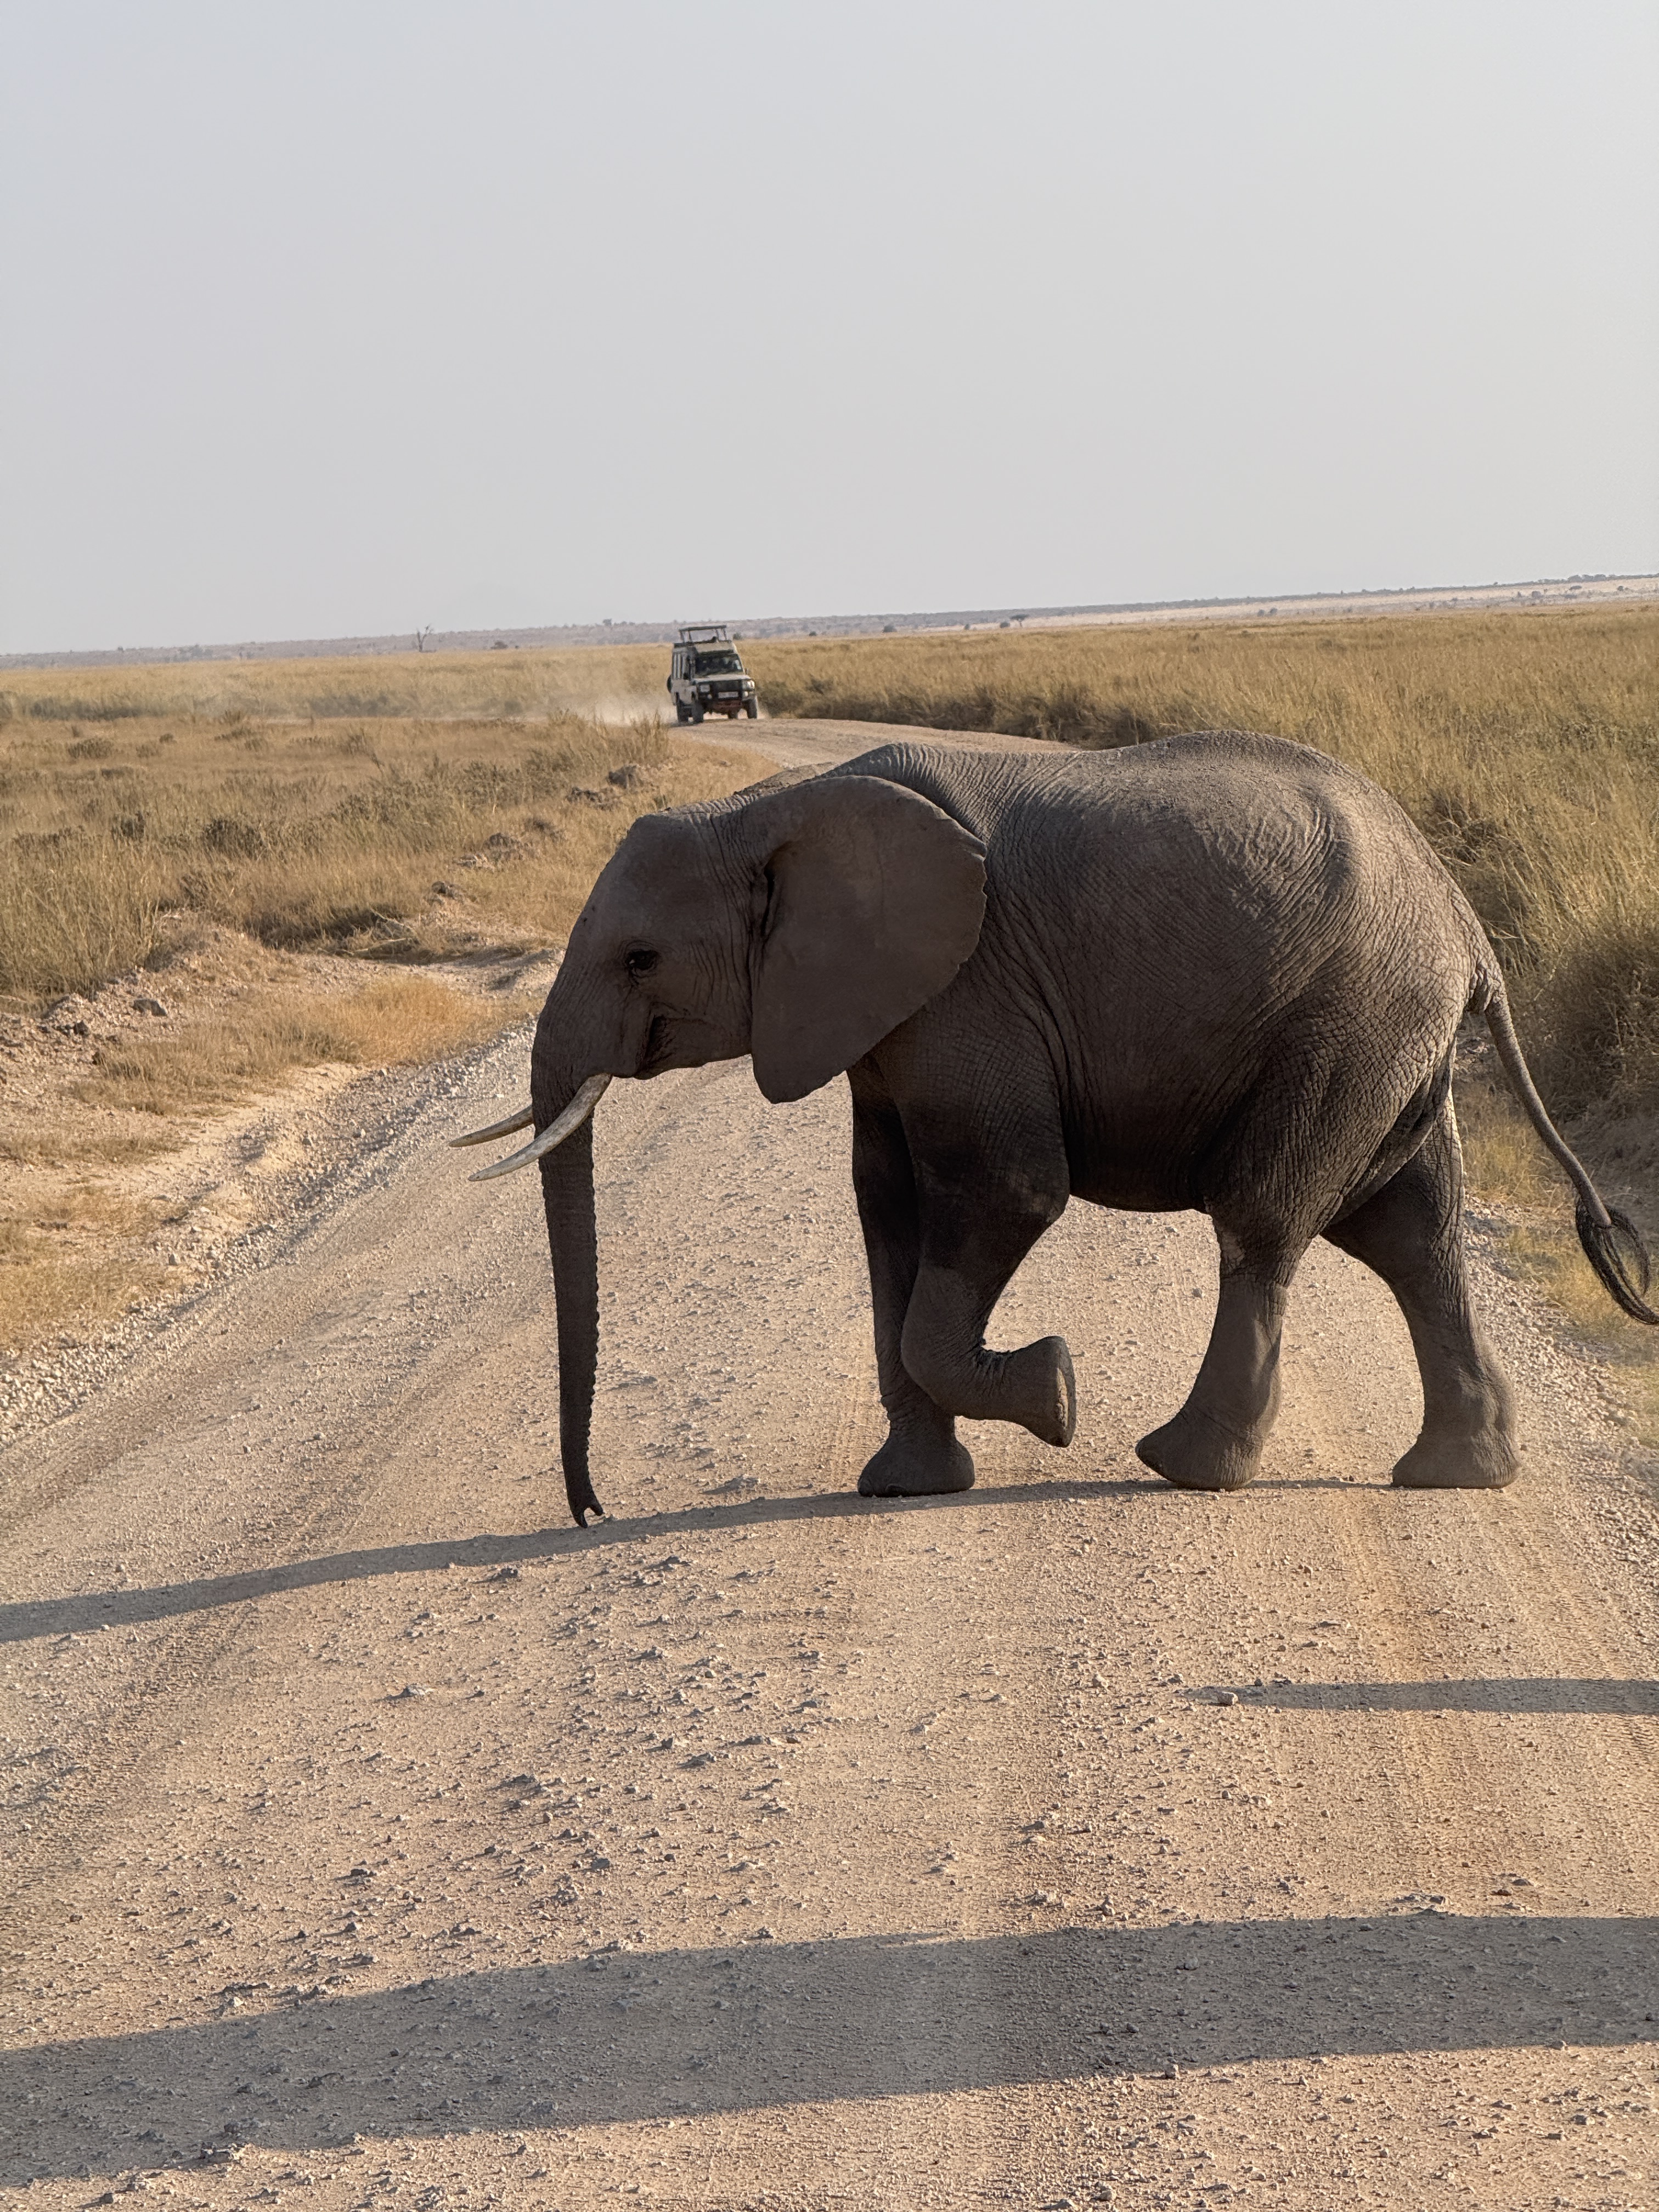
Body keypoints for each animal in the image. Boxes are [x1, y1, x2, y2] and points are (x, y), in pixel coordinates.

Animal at [453, 733, 1656, 1527]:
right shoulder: (884, 1013)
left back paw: (1183, 1465)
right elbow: (886, 1210)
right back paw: (1457, 1475)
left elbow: (1005, 1188)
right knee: (1411, 1233)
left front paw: (1057, 1394)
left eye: (640, 959)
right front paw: (904, 1487)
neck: (768, 809)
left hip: (1352, 1017)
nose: (593, 1512)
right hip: (1388, 1038)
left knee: (1265, 1218)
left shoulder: (967, 988)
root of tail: (1466, 922)